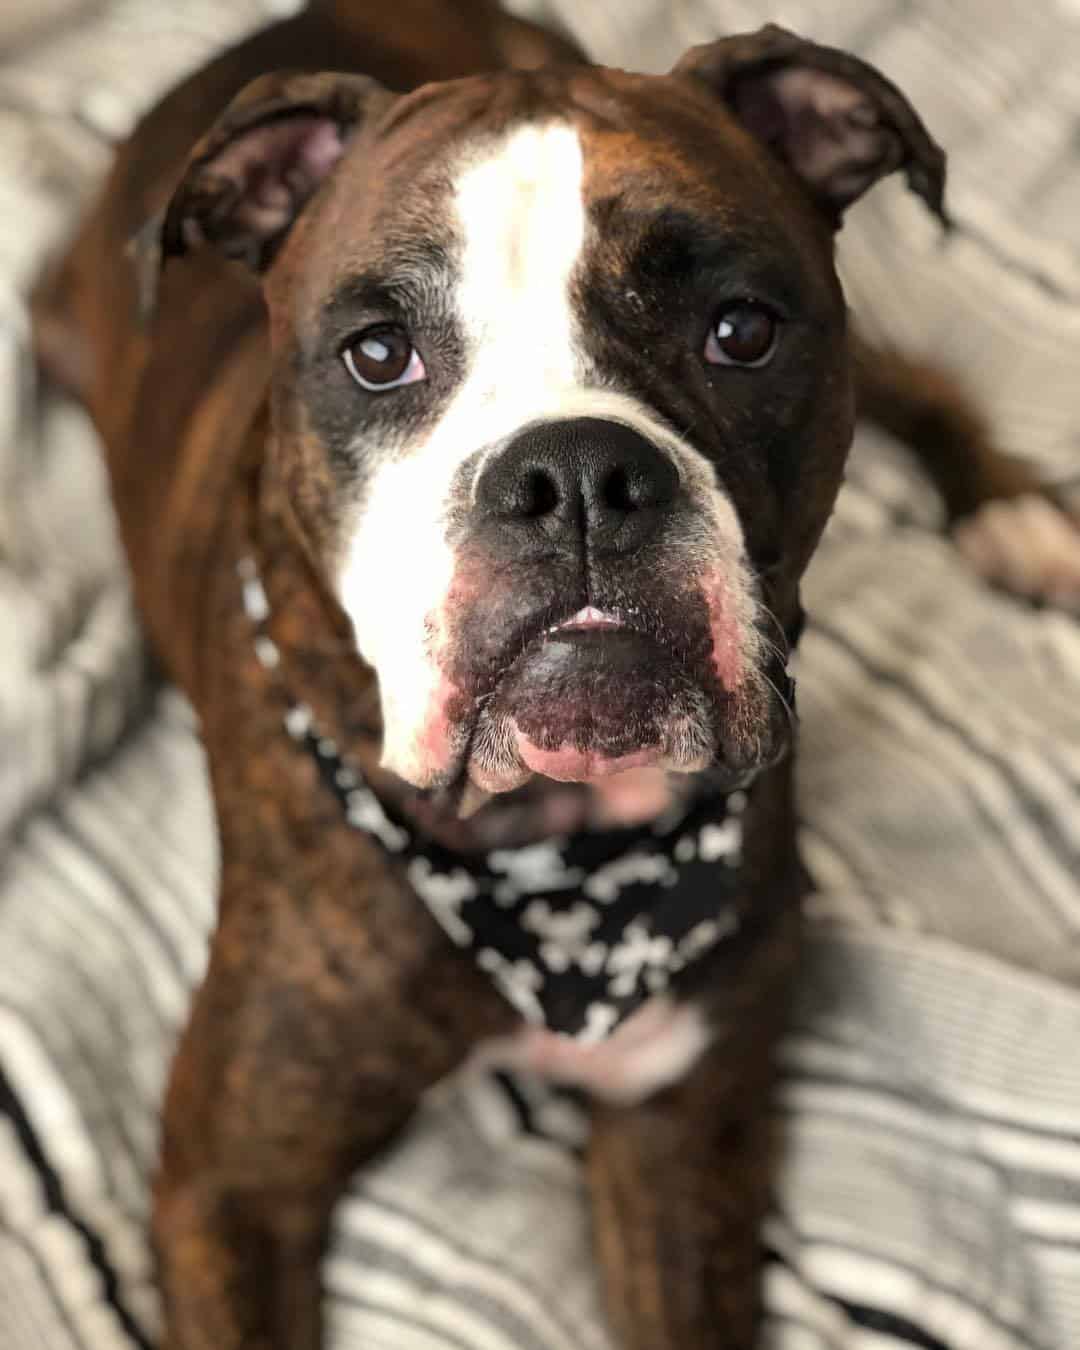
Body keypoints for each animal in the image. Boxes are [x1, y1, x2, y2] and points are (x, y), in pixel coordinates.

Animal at [29, 2, 1080, 1350]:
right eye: (378, 352)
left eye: (741, 330)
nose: (575, 473)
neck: (549, 866)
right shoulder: (234, 1179)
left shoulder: (678, 1135)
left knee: (911, 371)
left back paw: (1013, 515)